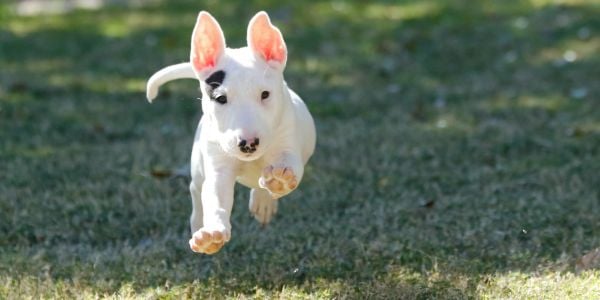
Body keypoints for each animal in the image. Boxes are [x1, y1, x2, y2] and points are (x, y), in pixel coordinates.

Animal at [145, 12, 316, 255]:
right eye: (220, 98)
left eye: (265, 94)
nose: (248, 144)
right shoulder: (219, 166)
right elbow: (216, 196)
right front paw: (211, 235)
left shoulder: (287, 143)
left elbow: (288, 164)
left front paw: (279, 180)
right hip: (198, 163)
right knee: (197, 189)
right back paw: (198, 223)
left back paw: (264, 199)